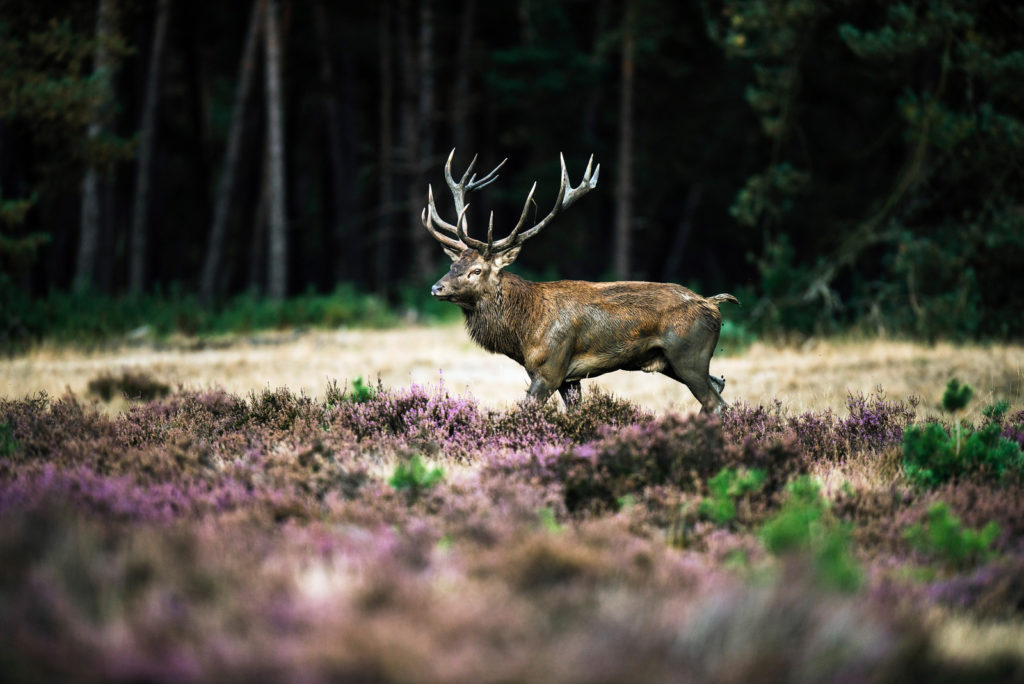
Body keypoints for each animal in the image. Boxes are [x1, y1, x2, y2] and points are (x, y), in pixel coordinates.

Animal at [419, 150, 741, 413]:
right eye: (453, 264)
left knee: (716, 403)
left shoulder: (550, 368)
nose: (436, 288)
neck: (523, 332)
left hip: (689, 355)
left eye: (476, 270)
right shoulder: (569, 379)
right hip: (672, 362)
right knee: (720, 385)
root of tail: (712, 303)